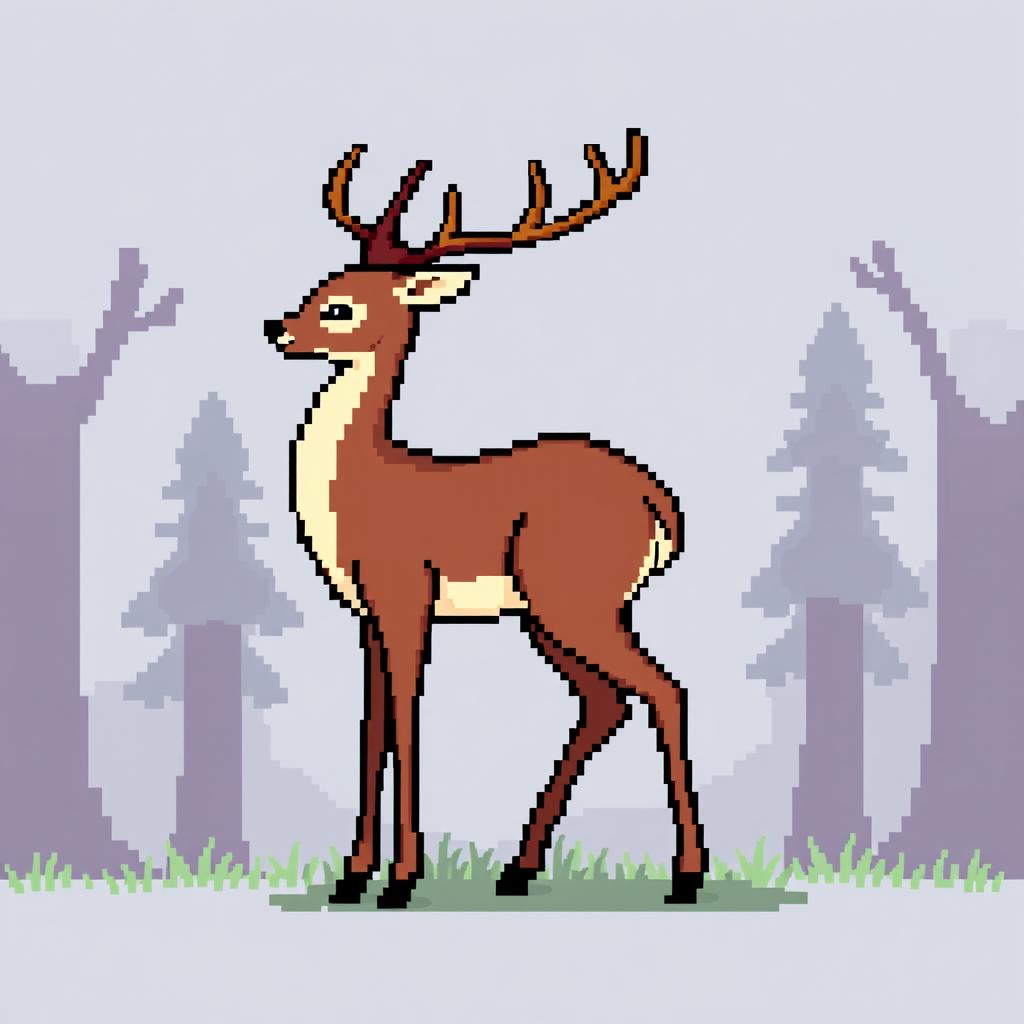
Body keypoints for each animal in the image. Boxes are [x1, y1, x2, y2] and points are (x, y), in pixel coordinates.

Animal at [264, 129, 708, 909]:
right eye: (321, 285)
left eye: (342, 307)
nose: (277, 328)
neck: (361, 487)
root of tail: (659, 502)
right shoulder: (366, 613)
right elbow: (372, 727)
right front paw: (351, 877)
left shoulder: (405, 592)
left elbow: (406, 720)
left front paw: (400, 880)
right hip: (550, 612)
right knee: (606, 703)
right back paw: (519, 868)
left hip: (575, 599)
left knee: (664, 690)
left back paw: (686, 876)